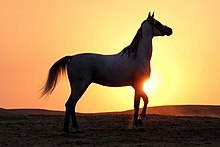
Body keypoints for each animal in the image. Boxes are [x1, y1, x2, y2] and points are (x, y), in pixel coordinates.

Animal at [41, 12, 172, 135]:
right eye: (157, 22)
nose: (170, 30)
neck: (137, 57)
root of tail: (72, 57)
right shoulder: (139, 84)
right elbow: (140, 102)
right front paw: (139, 123)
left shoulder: (136, 86)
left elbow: (141, 101)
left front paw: (138, 123)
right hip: (80, 86)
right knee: (69, 104)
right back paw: (67, 130)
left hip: (79, 87)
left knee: (72, 105)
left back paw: (77, 129)